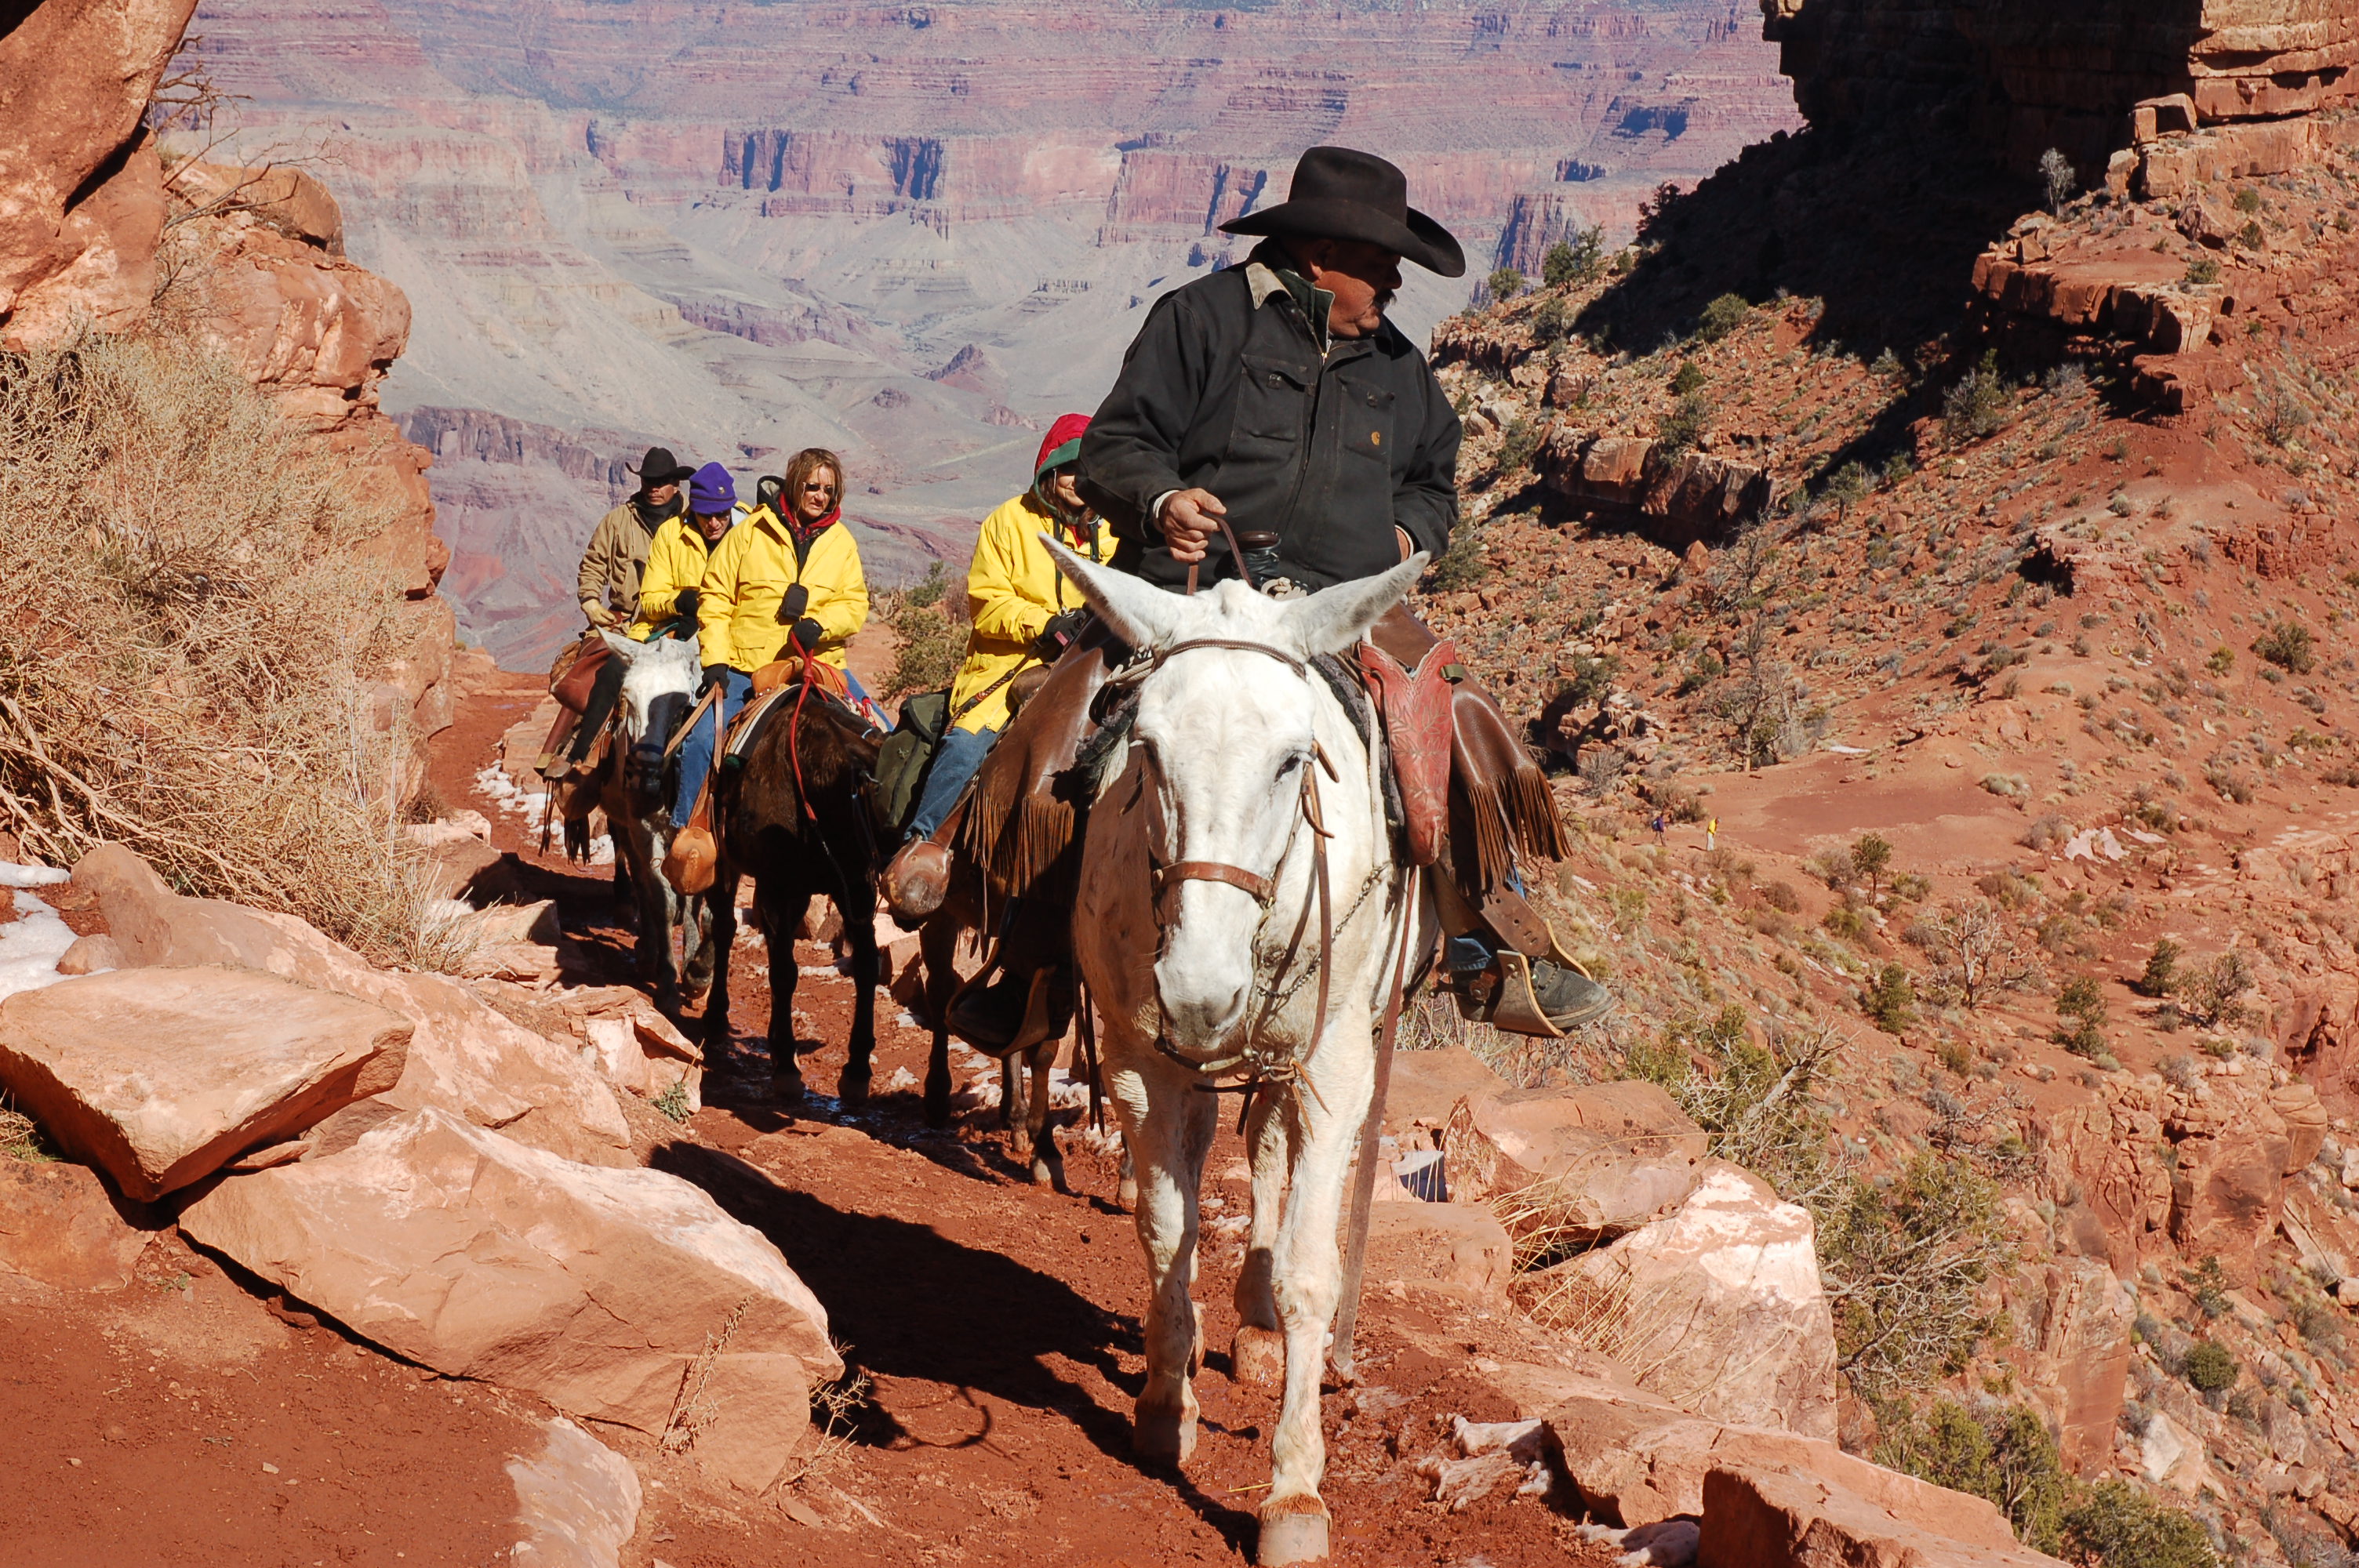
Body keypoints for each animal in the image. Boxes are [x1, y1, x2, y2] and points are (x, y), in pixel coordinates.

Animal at [589, 631, 715, 1011]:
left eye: (684, 702)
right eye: (627, 698)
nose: (644, 778)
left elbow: (698, 902)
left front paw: (696, 975)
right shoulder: (644, 830)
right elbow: (662, 899)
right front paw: (668, 983)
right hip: (625, 827)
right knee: (641, 882)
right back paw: (647, 954)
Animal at [701, 667, 886, 1101]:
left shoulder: (855, 887)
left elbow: (867, 966)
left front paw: (857, 1069)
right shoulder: (777, 889)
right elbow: (784, 972)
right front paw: (786, 1064)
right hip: (728, 865)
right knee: (724, 928)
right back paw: (716, 1016)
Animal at [1049, 544, 1435, 1568]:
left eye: (1292, 760)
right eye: (1144, 748)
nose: (1198, 987)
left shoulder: (1336, 1069)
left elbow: (1310, 1270)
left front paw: (1293, 1489)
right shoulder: (1141, 1059)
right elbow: (1164, 1229)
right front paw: (1162, 1404)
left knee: (1268, 1149)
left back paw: (1257, 1326)